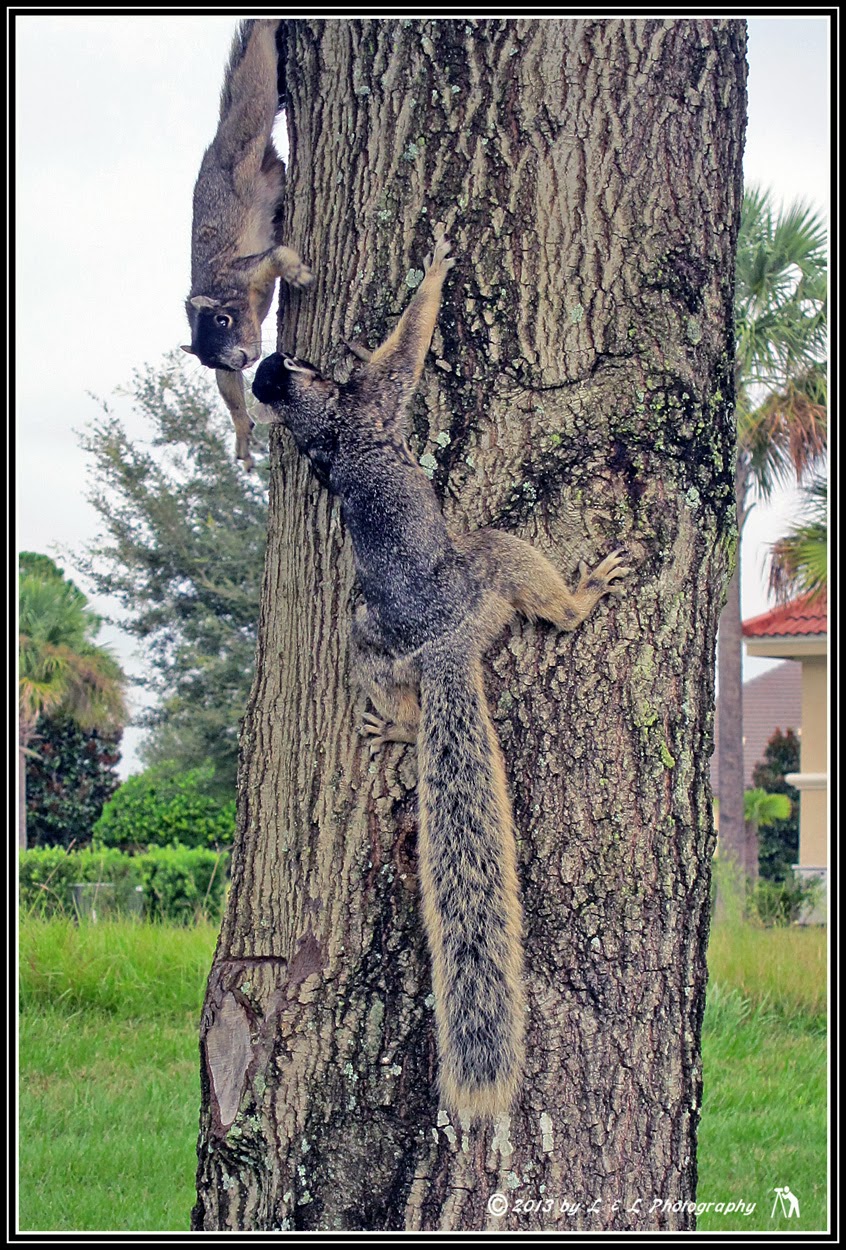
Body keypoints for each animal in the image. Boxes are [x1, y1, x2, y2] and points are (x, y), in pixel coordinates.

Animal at [182, 19, 313, 471]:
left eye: (223, 321)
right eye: (208, 359)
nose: (241, 358)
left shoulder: (243, 270)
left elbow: (276, 255)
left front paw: (296, 271)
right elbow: (229, 389)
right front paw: (241, 430)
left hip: (249, 124)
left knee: (255, 87)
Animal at [252, 228, 632, 1118]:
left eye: (286, 364)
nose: (286, 353)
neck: (324, 426)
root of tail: (445, 645)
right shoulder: (375, 405)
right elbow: (404, 356)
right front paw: (434, 272)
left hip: (370, 639)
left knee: (381, 673)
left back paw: (397, 722)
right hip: (494, 564)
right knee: (542, 595)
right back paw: (583, 596)